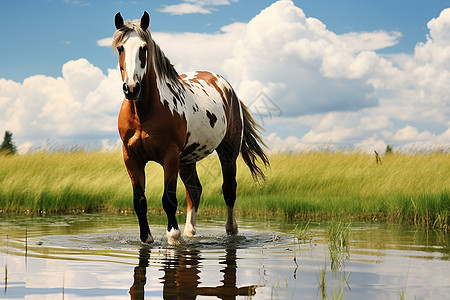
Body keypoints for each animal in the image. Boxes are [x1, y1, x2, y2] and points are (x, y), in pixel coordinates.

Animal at [113, 11, 268, 246]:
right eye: (121, 48)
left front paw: (173, 236)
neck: (144, 114)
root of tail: (228, 88)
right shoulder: (131, 157)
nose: (131, 88)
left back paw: (230, 230)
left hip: (227, 152)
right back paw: (190, 232)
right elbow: (139, 200)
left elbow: (168, 198)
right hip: (187, 159)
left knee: (229, 190)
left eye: (144, 48)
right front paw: (146, 238)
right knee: (194, 191)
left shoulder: (169, 156)